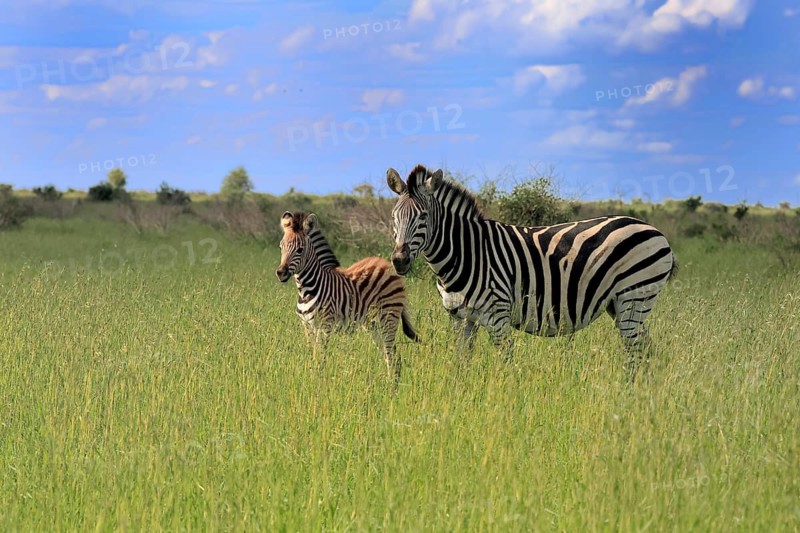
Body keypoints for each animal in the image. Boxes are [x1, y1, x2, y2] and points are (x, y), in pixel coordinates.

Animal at [275, 211, 419, 387]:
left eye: (300, 250)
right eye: (281, 246)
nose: (281, 273)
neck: (308, 289)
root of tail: (388, 266)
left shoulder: (325, 325)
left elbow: (320, 358)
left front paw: (317, 385)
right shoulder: (307, 326)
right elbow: (311, 356)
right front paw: (310, 380)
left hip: (388, 318)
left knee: (394, 357)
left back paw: (393, 389)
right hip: (373, 325)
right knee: (389, 355)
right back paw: (389, 386)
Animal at [386, 164, 677, 375]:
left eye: (423, 217)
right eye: (394, 217)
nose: (399, 260)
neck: (465, 253)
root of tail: (654, 229)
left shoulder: (498, 316)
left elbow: (505, 364)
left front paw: (503, 404)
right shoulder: (460, 318)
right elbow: (462, 363)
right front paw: (462, 396)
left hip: (634, 297)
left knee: (636, 351)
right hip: (620, 305)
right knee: (646, 350)